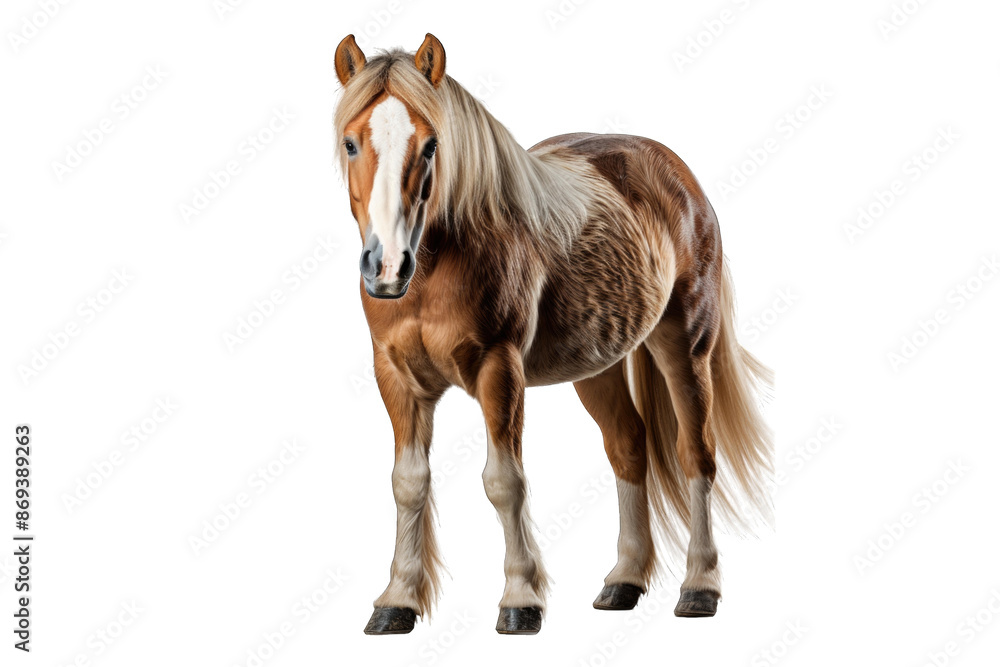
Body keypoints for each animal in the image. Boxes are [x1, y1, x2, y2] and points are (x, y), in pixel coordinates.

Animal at [333, 33, 773, 635]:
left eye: (430, 146)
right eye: (351, 143)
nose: (387, 266)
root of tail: (677, 174)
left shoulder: (499, 370)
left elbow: (504, 481)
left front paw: (520, 599)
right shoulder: (396, 375)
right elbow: (408, 481)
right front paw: (396, 600)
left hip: (685, 347)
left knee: (697, 455)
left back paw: (700, 587)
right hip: (598, 364)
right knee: (627, 447)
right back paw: (624, 581)